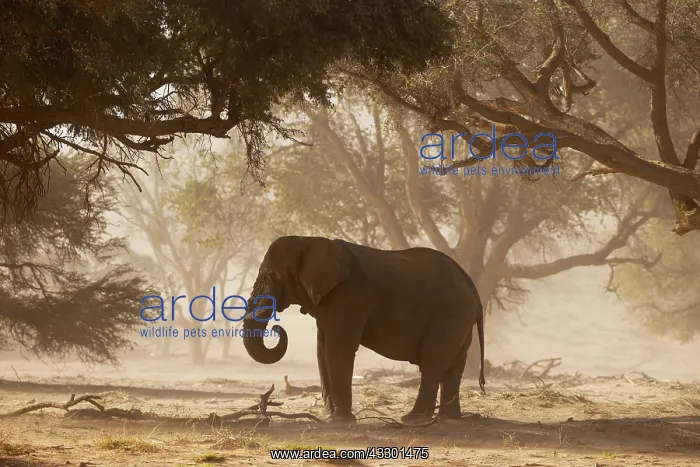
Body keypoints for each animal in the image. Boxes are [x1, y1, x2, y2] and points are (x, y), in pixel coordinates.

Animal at [241, 235, 485, 425]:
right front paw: (329, 417)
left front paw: (339, 421)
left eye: (273, 275)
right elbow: (322, 351)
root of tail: (469, 282)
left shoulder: (349, 295)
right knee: (454, 366)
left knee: (433, 362)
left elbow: (336, 350)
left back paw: (413, 420)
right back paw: (449, 419)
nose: (277, 327)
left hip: (450, 313)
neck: (310, 241)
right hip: (460, 317)